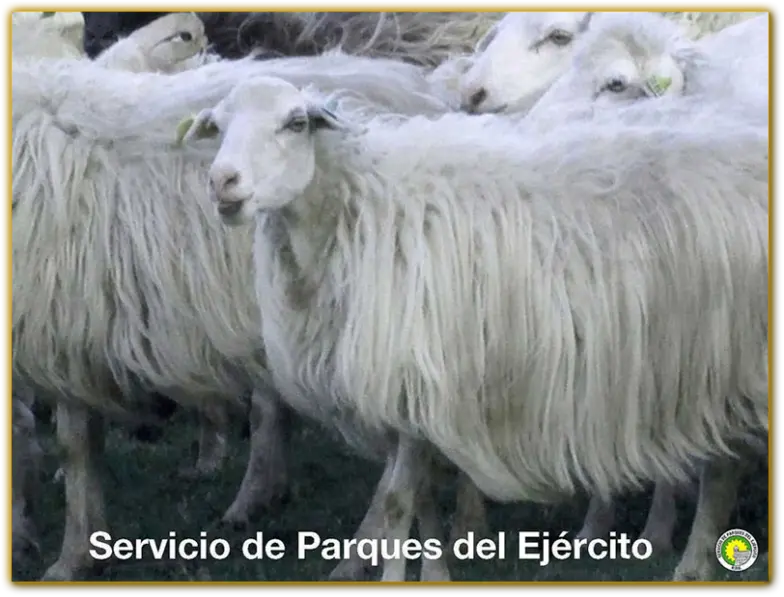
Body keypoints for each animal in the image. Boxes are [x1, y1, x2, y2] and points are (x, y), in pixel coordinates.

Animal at [11, 53, 466, 581]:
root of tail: (431, 96)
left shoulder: (61, 335)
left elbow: (70, 447)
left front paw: (66, 556)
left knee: (403, 457)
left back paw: (356, 556)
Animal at [179, 75, 768, 582]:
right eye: (217, 126)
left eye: (295, 122)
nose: (221, 182)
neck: (357, 213)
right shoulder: (411, 400)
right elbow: (417, 502)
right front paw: (434, 571)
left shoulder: (413, 376)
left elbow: (396, 503)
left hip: (729, 359)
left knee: (722, 470)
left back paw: (692, 564)